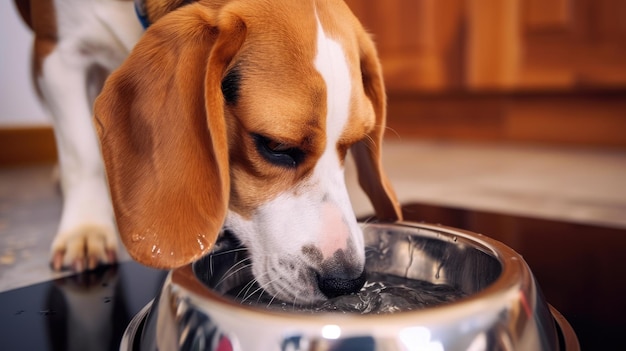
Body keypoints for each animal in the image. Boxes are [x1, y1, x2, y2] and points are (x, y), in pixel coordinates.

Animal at [23, 0, 404, 306]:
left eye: (353, 143)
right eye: (275, 146)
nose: (347, 282)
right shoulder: (57, 55)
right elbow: (80, 154)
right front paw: (84, 231)